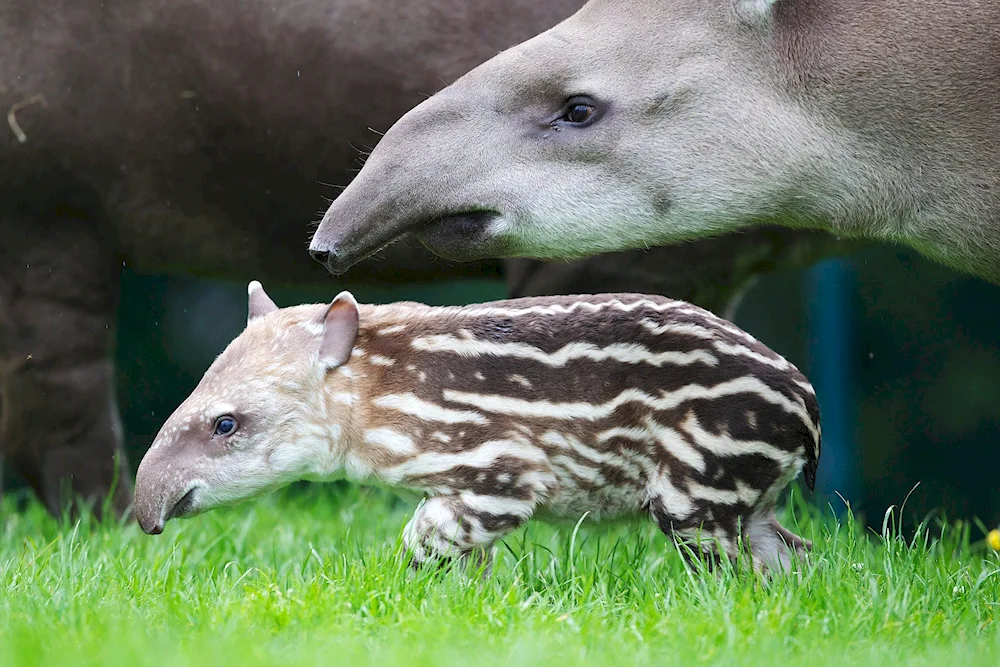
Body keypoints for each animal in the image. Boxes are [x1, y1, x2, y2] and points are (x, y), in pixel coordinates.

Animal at [133, 282, 820, 576]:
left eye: (226, 424)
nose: (145, 513)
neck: (380, 391)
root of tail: (808, 409)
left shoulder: (498, 473)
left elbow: (422, 542)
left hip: (698, 483)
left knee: (732, 569)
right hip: (747, 492)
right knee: (788, 556)